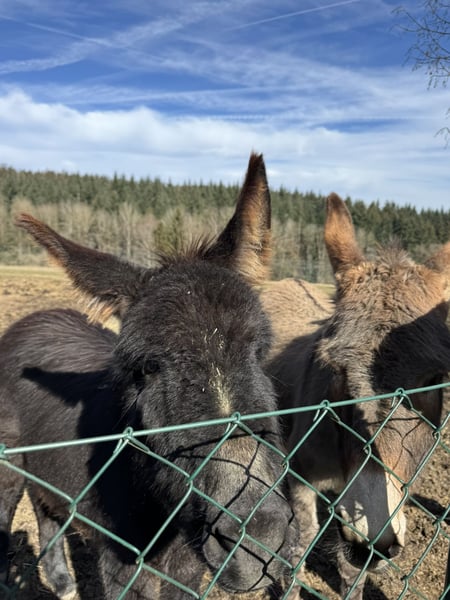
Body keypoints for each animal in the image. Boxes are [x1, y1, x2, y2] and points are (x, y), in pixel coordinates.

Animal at [0, 153, 299, 600]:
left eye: (258, 352)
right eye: (146, 368)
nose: (257, 541)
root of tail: (31, 320)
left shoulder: (188, 563)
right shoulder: (121, 562)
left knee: (45, 505)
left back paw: (62, 581)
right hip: (8, 466)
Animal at [260, 193, 450, 598]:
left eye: (433, 379)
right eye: (335, 368)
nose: (373, 541)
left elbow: (352, 570)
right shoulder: (300, 473)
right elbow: (301, 542)